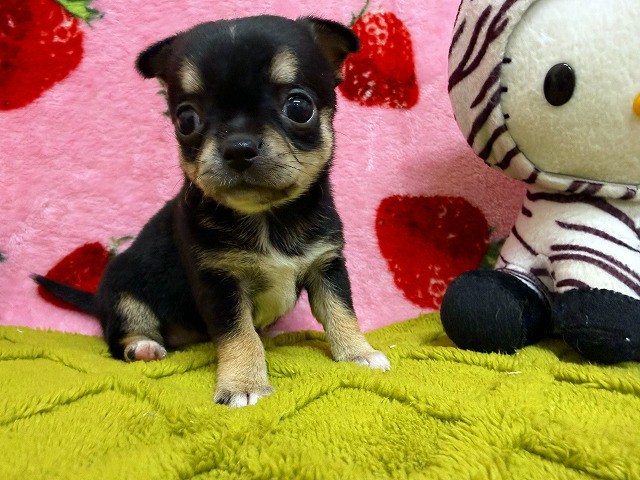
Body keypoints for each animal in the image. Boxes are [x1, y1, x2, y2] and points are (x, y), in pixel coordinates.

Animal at [34, 15, 391, 407]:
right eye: (185, 120)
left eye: (299, 107)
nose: (238, 147)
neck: (267, 217)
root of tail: (96, 300)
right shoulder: (219, 282)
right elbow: (239, 334)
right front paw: (244, 384)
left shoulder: (326, 266)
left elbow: (340, 311)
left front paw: (358, 353)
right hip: (123, 294)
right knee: (123, 335)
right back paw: (144, 346)